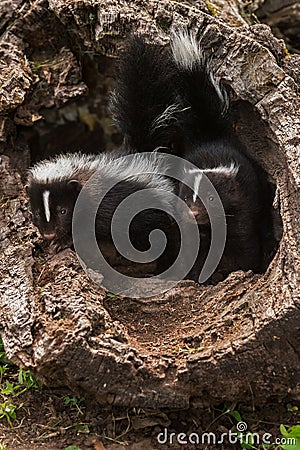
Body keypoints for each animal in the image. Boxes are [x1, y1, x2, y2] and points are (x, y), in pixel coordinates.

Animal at [171, 29, 262, 282]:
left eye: (211, 198)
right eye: (185, 197)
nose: (193, 212)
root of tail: (210, 135)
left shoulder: (241, 210)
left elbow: (245, 246)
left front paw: (243, 271)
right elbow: (193, 250)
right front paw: (196, 276)